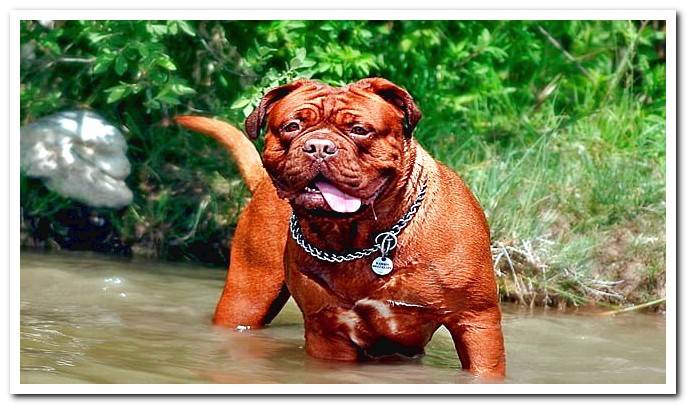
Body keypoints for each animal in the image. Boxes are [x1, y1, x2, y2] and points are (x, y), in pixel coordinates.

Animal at [176, 78, 510, 376]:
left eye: (359, 130)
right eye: (292, 126)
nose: (319, 146)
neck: (365, 237)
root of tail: (260, 181)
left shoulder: (477, 323)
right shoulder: (328, 330)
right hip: (245, 296)